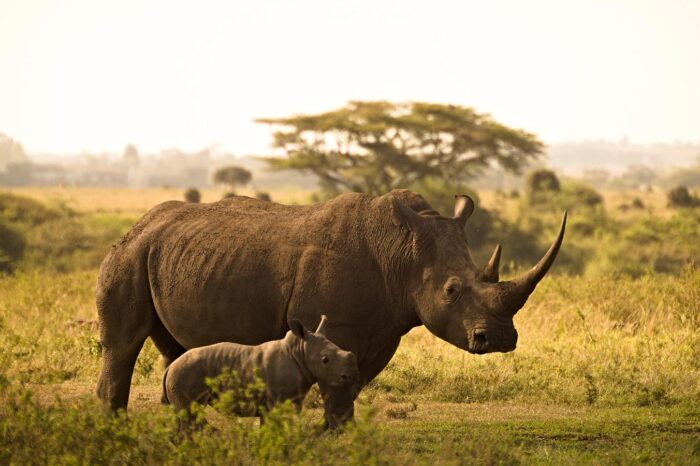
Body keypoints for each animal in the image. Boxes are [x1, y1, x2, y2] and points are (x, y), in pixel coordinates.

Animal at [162, 315, 359, 427]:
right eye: (325, 360)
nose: (349, 376)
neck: (300, 352)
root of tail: (170, 367)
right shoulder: (275, 402)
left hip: (181, 374)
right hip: (185, 374)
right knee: (190, 415)